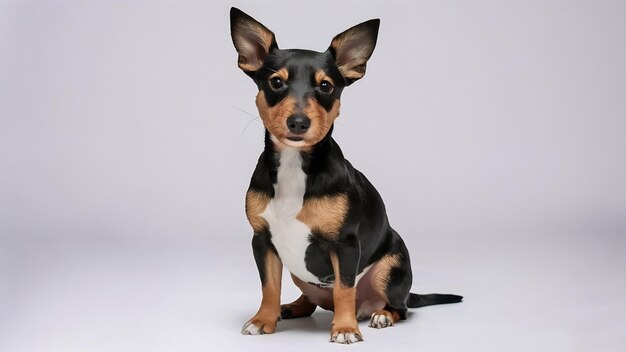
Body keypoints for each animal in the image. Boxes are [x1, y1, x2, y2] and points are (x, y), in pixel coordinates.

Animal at [228, 7, 458, 344]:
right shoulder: (262, 241)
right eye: (276, 82)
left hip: (391, 269)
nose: (299, 122)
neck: (296, 165)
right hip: (300, 274)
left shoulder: (346, 245)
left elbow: (344, 289)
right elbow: (269, 286)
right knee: (312, 301)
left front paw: (346, 328)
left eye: (325, 86)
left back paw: (381, 315)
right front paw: (263, 319)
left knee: (399, 308)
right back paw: (292, 307)